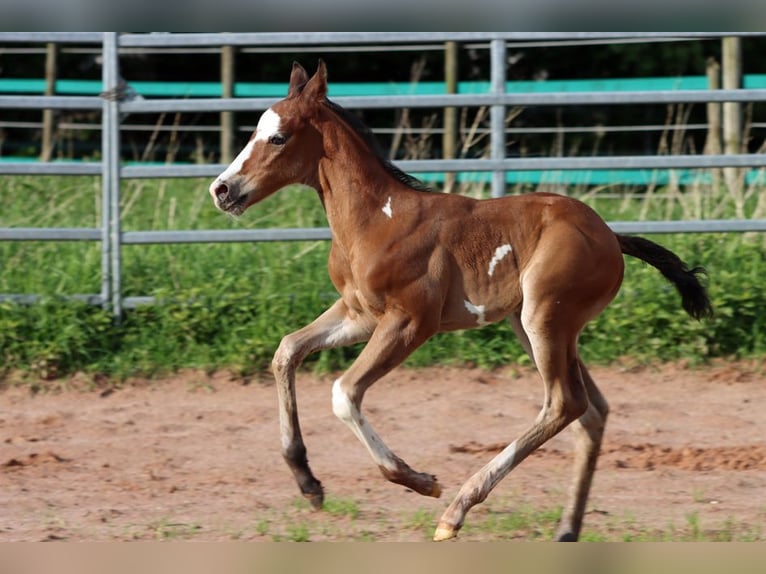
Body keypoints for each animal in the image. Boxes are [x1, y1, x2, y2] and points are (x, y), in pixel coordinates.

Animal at [209, 61, 712, 541]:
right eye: (253, 132)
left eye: (277, 137)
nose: (222, 190)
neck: (377, 219)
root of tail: (611, 236)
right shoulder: (358, 314)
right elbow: (287, 351)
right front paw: (308, 483)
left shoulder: (411, 321)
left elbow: (344, 393)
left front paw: (419, 480)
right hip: (534, 326)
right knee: (592, 410)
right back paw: (566, 530)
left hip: (546, 319)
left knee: (563, 403)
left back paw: (456, 512)